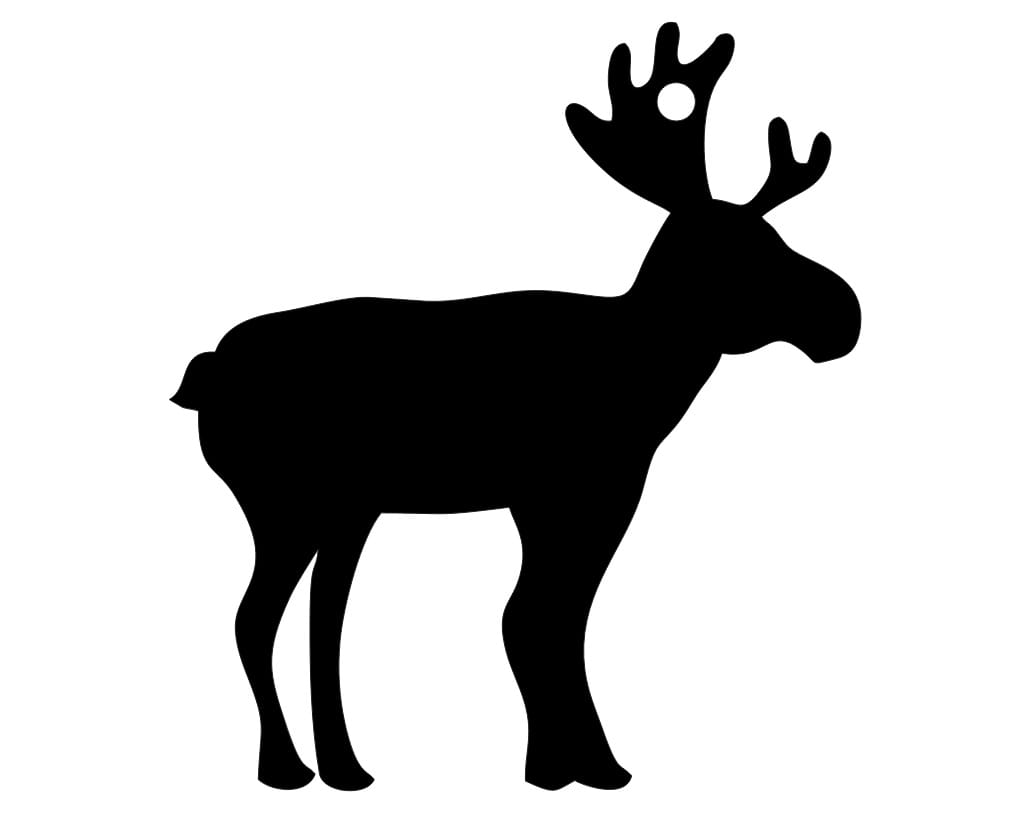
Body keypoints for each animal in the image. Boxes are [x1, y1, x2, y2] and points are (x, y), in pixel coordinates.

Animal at [172, 23, 860, 792]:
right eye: (741, 251)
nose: (844, 314)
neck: (643, 376)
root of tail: (206, 373)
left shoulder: (555, 499)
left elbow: (545, 616)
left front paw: (564, 761)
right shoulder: (581, 487)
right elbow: (537, 615)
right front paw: (581, 765)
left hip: (347, 507)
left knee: (324, 616)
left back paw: (347, 768)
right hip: (282, 501)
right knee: (253, 617)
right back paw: (285, 768)